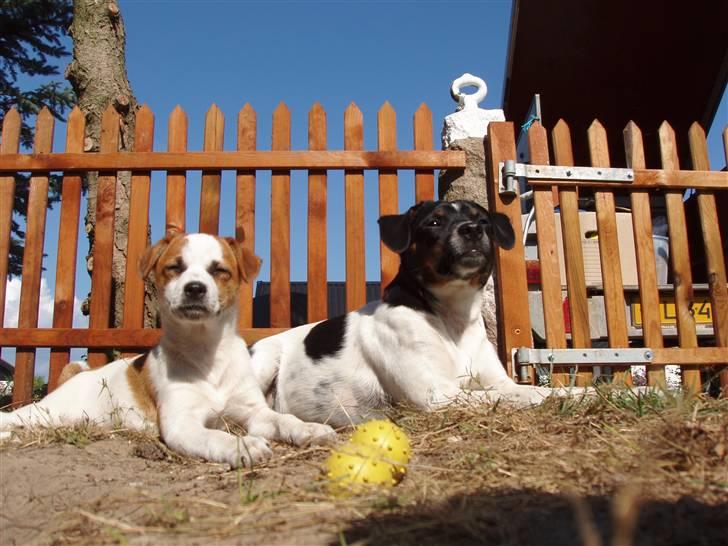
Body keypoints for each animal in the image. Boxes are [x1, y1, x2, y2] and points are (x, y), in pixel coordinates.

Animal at [0, 230, 336, 464]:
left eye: (219, 270)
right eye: (175, 267)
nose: (195, 289)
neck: (206, 354)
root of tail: (77, 377)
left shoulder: (254, 413)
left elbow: (282, 419)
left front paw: (307, 428)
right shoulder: (182, 424)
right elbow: (214, 436)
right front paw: (242, 445)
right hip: (46, 413)